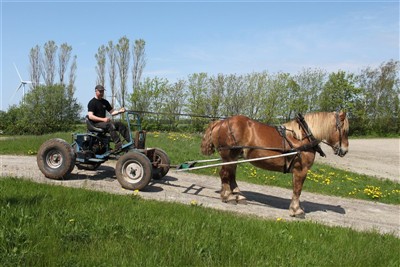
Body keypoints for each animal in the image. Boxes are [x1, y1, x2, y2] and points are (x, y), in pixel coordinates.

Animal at [202, 111, 348, 218]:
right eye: (345, 131)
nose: (345, 151)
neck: (303, 137)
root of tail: (220, 122)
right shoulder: (301, 170)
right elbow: (297, 190)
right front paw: (296, 210)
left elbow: (296, 189)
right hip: (229, 156)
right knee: (225, 174)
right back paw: (228, 196)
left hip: (233, 157)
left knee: (230, 174)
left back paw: (237, 196)